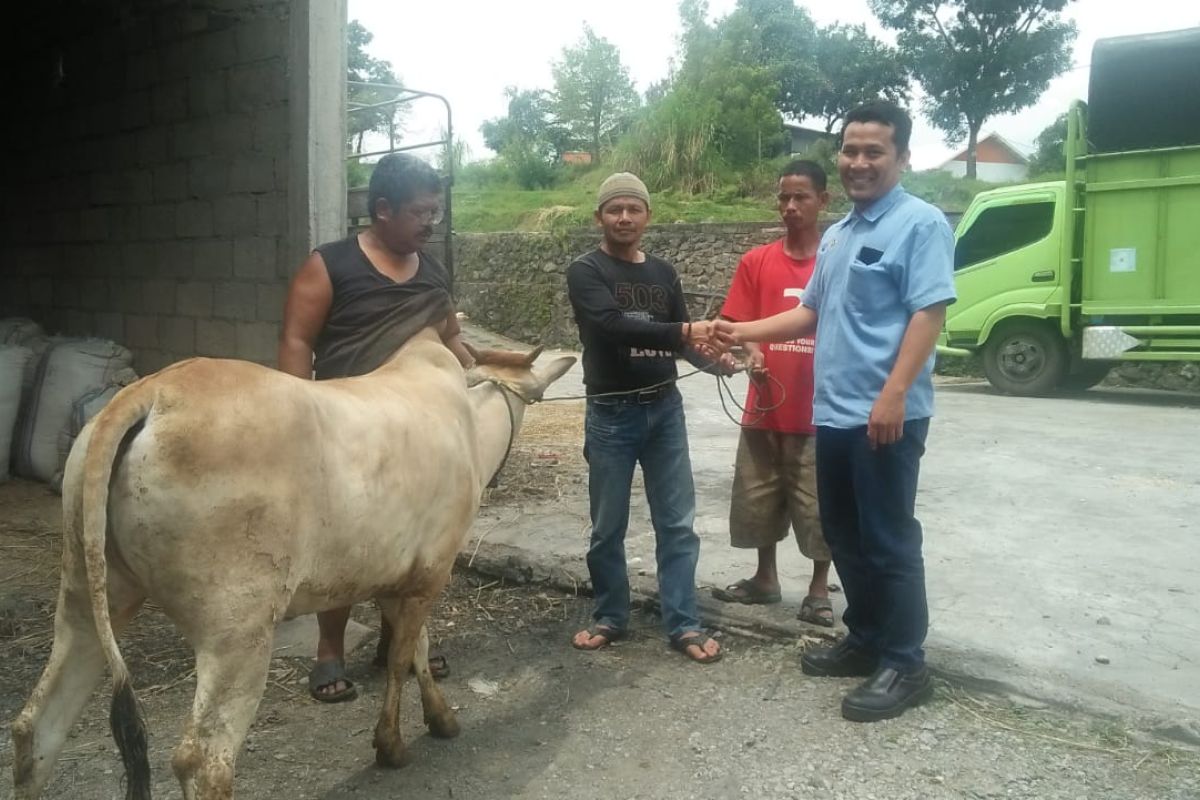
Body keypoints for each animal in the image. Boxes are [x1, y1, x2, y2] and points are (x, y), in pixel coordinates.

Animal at [8, 326, 571, 800]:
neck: (468, 422)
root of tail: (149, 395)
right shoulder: (431, 572)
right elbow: (401, 659)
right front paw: (392, 745)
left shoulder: (399, 577)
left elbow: (417, 651)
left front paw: (440, 720)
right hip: (238, 630)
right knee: (203, 761)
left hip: (87, 594)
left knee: (37, 727)